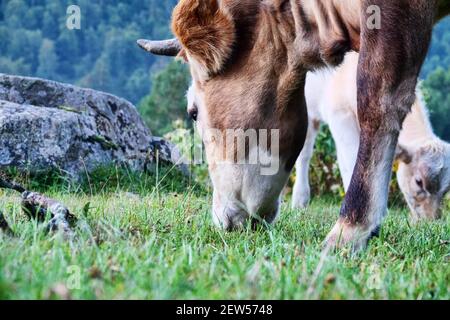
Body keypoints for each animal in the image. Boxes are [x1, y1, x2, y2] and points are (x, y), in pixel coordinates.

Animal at [292, 51, 450, 221]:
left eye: (446, 189)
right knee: (302, 153)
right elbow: (352, 159)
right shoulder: (340, 113)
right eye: (419, 182)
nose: (432, 220)